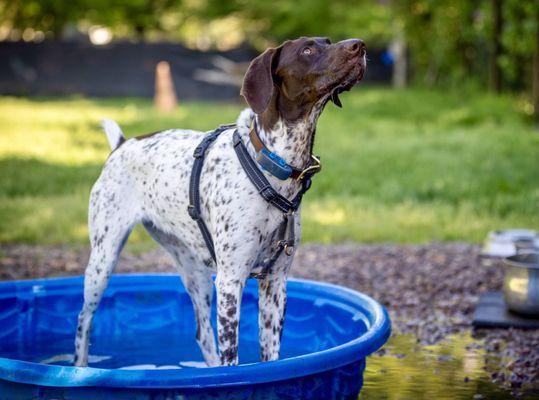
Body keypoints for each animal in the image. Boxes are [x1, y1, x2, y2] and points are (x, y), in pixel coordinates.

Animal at [74, 36, 364, 368]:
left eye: (328, 41)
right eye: (307, 49)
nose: (359, 45)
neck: (273, 164)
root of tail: (122, 144)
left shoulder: (275, 283)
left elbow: (270, 357)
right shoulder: (230, 281)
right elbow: (231, 359)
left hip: (194, 272)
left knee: (203, 334)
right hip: (103, 259)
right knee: (83, 321)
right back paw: (80, 367)